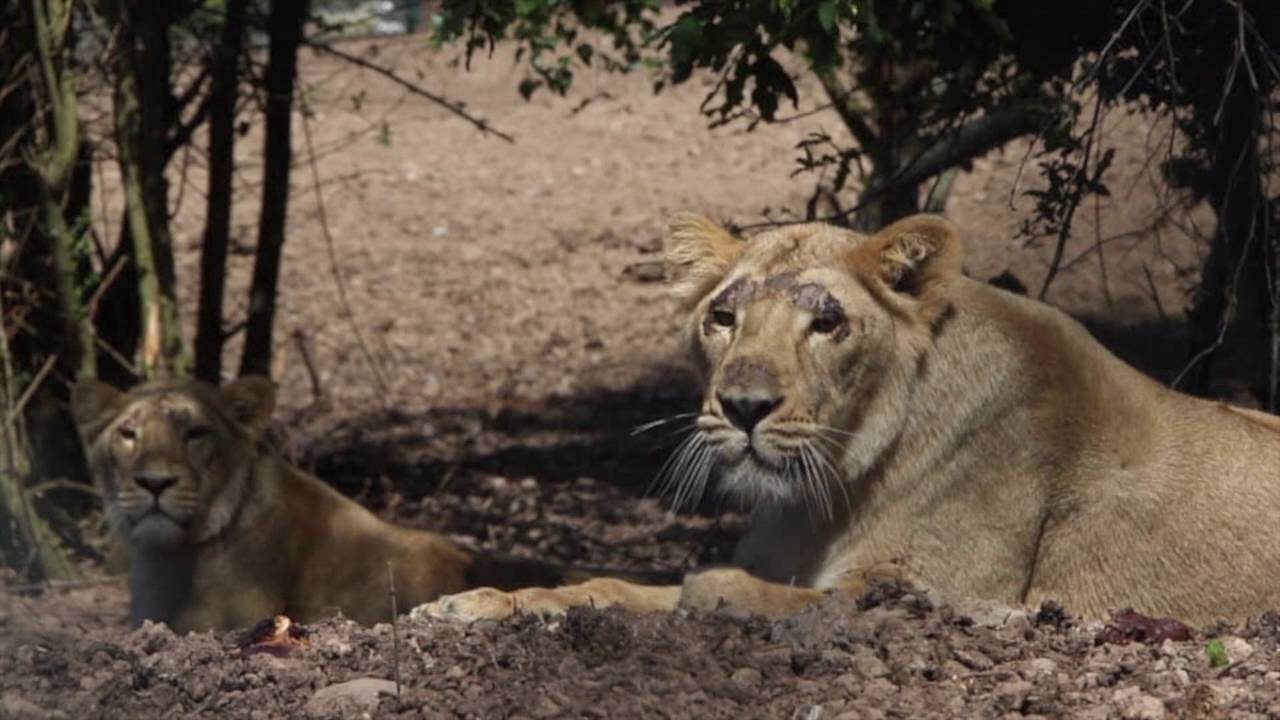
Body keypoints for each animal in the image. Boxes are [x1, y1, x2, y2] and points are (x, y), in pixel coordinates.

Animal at [421, 212, 1280, 627]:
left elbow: (760, 594)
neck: (822, 493)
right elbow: (613, 588)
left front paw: (711, 590)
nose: (744, 407)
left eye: (827, 324)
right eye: (723, 318)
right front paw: (480, 604)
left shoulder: (942, 590)